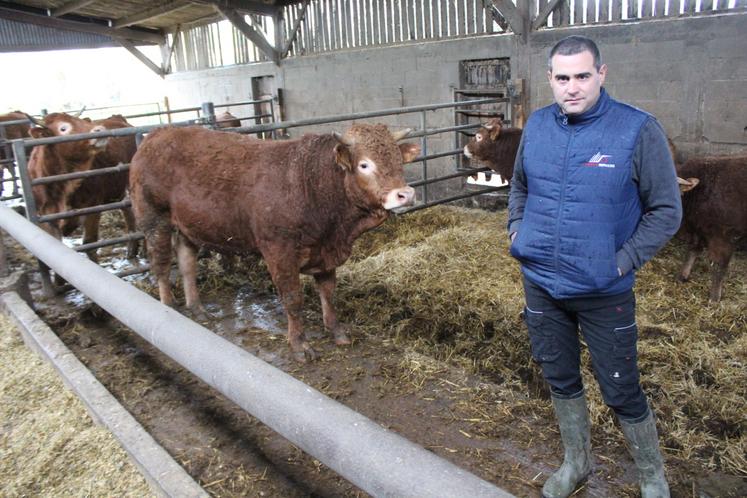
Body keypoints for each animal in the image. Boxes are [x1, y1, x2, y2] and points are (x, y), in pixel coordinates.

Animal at [130, 122, 420, 360]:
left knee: (187, 263)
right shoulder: (279, 251)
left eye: (398, 160)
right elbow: (293, 299)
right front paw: (300, 345)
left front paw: (336, 330)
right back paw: (169, 307)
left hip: (188, 227)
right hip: (154, 219)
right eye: (364, 164)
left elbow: (328, 292)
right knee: (161, 265)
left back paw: (197, 308)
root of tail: (155, 136)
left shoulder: (325, 252)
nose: (405, 194)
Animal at [676, 156, 747, 302]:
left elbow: (719, 265)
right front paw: (683, 276)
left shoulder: (723, 238)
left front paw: (714, 297)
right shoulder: (699, 229)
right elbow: (693, 250)